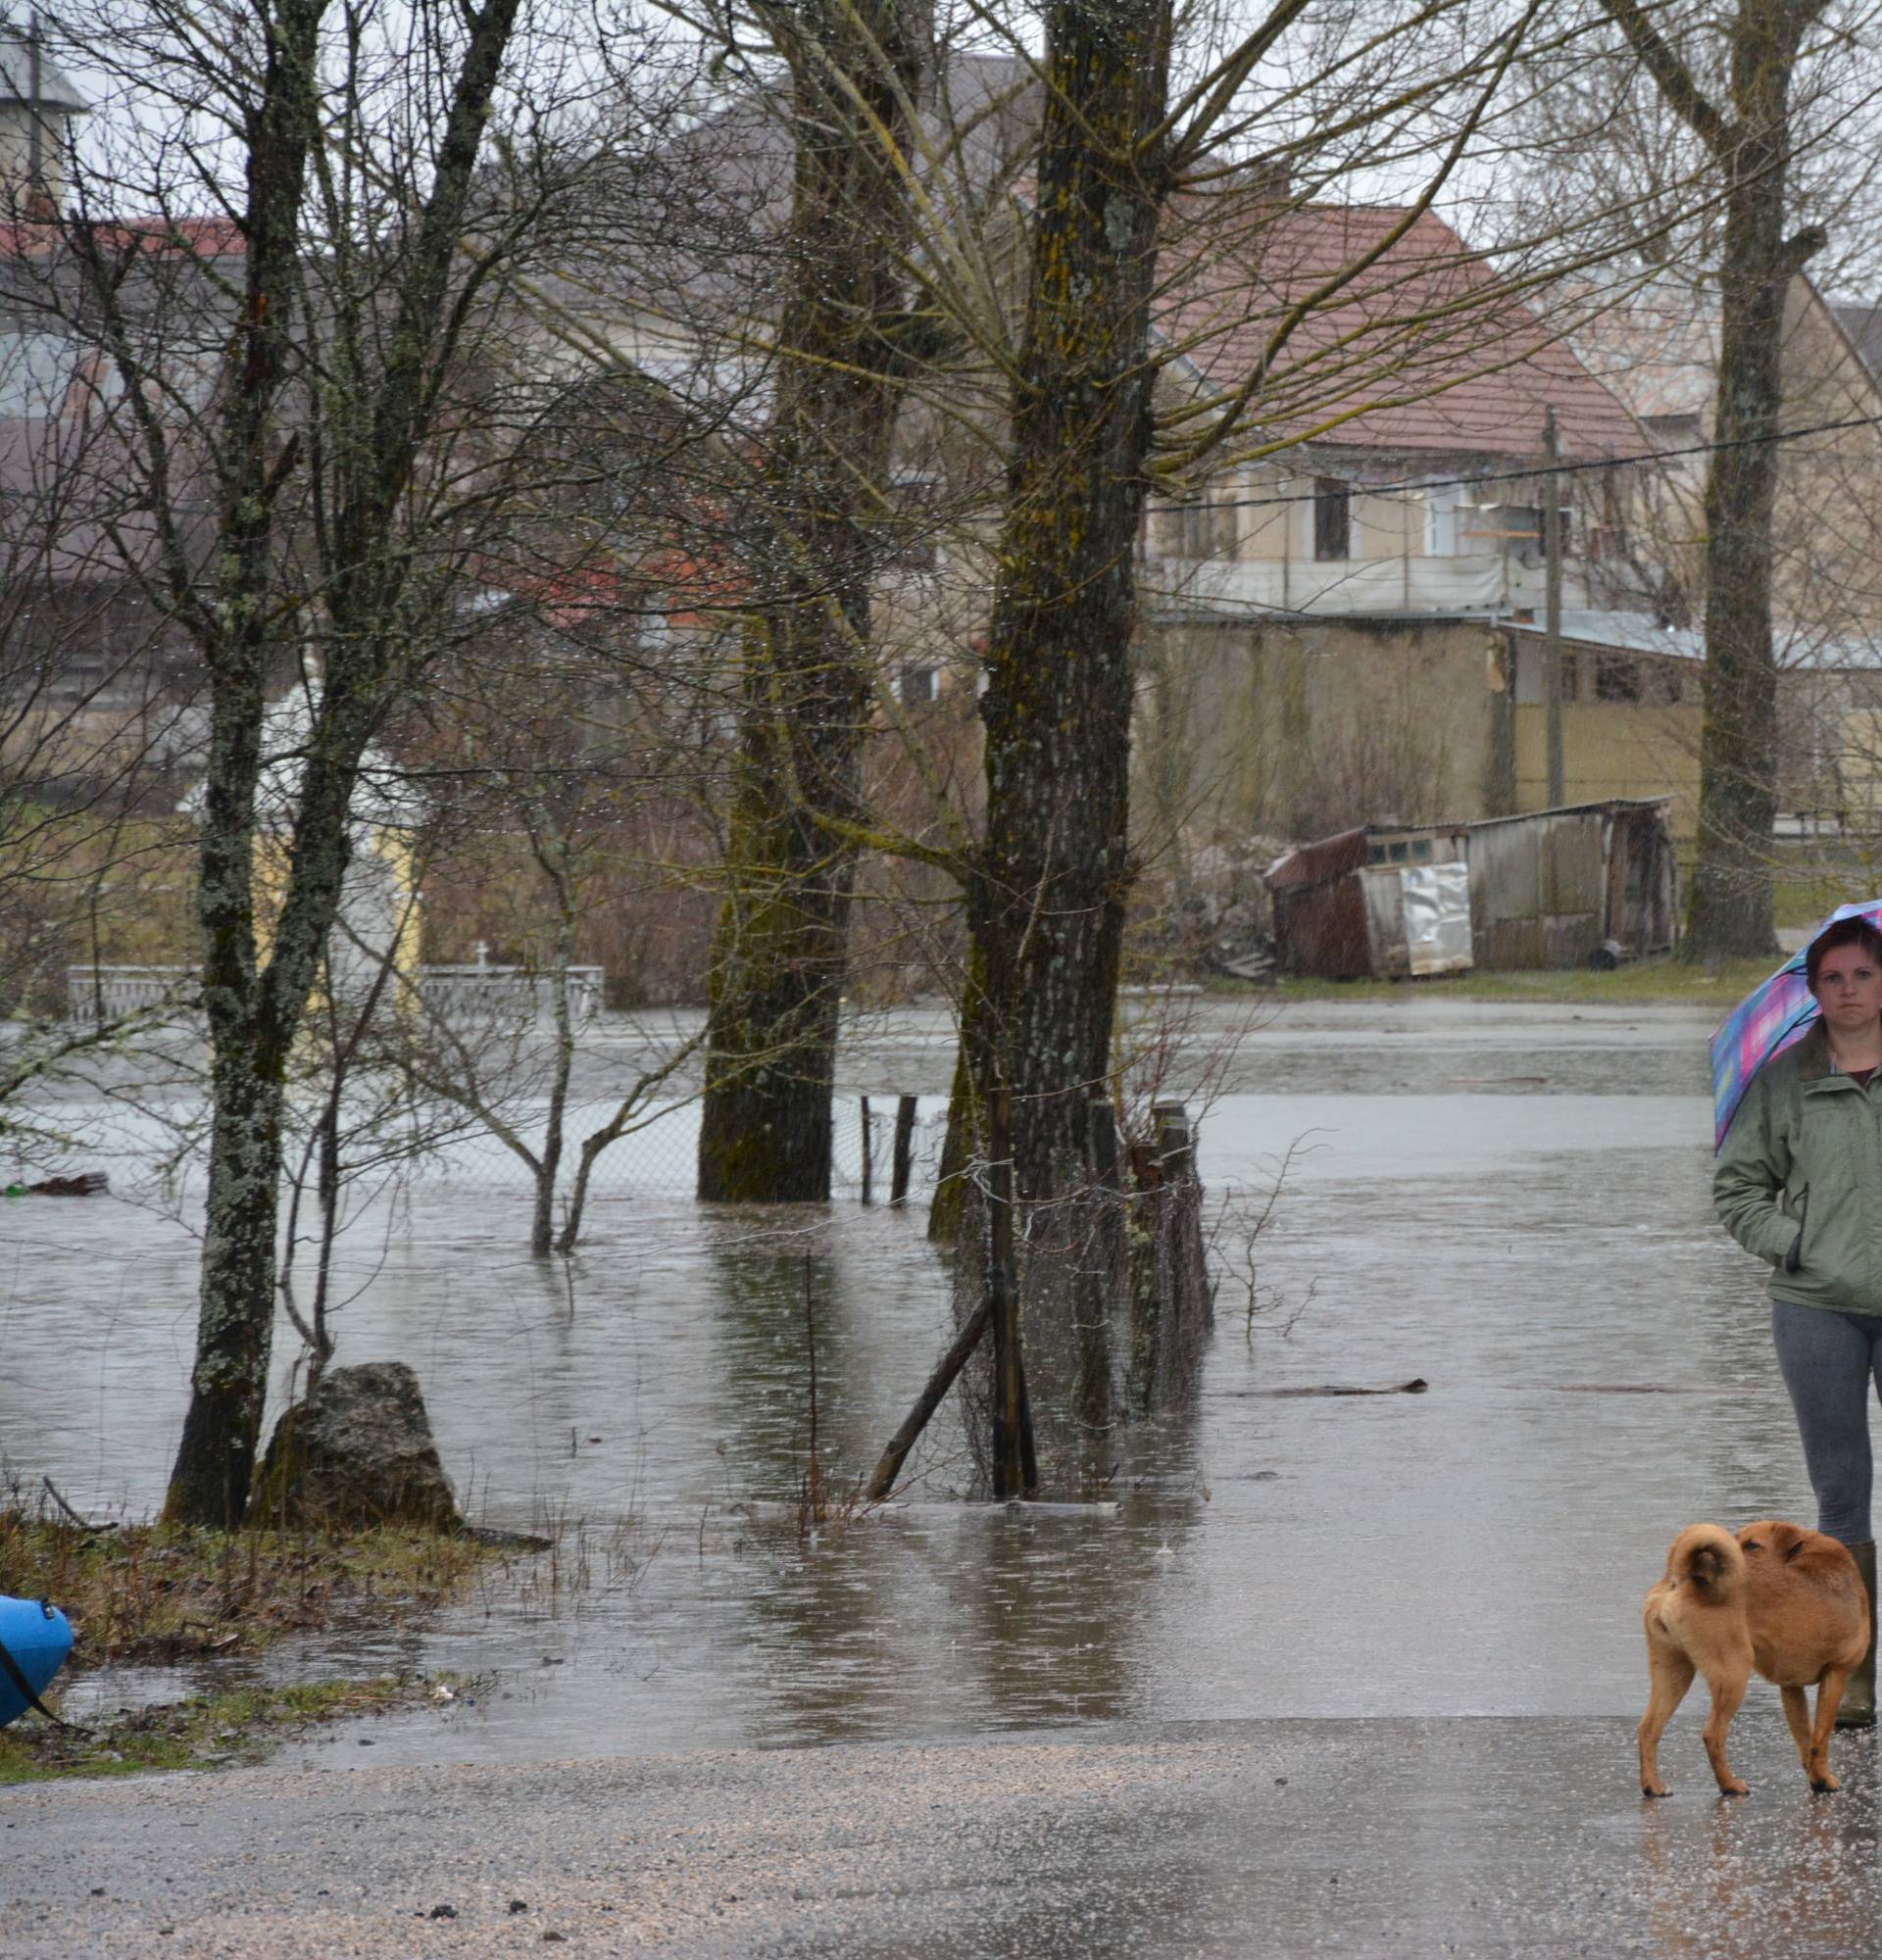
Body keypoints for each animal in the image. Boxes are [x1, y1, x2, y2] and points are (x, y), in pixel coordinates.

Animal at [1639, 1521, 1858, 1795]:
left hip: (1673, 1674)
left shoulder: (1791, 1687)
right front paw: (1824, 1780)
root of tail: (1682, 1579)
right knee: (1712, 1734)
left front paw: (1816, 1778)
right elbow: (1820, 1737)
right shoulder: (1836, 1674)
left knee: (1649, 1729)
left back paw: (1653, 1786)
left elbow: (1805, 1738)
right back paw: (1730, 1785)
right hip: (1733, 1675)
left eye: (1752, 1545)